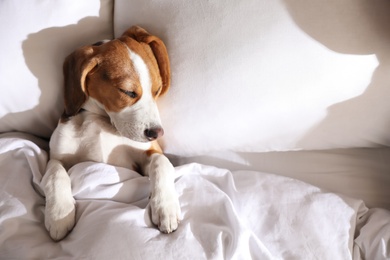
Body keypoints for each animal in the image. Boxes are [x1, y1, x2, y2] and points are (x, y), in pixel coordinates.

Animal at [42, 25, 182, 241]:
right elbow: (55, 173)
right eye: (128, 92)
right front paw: (59, 214)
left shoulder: (148, 154)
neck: (103, 120)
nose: (157, 133)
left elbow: (162, 162)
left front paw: (166, 207)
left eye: (157, 90)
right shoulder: (56, 157)